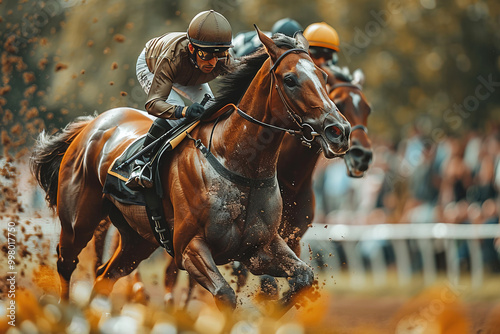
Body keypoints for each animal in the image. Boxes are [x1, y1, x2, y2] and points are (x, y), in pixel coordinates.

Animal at [31, 29, 350, 314]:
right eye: (290, 79)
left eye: (323, 77)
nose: (339, 131)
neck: (239, 163)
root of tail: (92, 124)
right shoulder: (189, 248)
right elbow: (225, 294)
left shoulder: (260, 248)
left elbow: (302, 279)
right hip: (79, 223)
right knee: (66, 265)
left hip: (137, 239)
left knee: (104, 278)